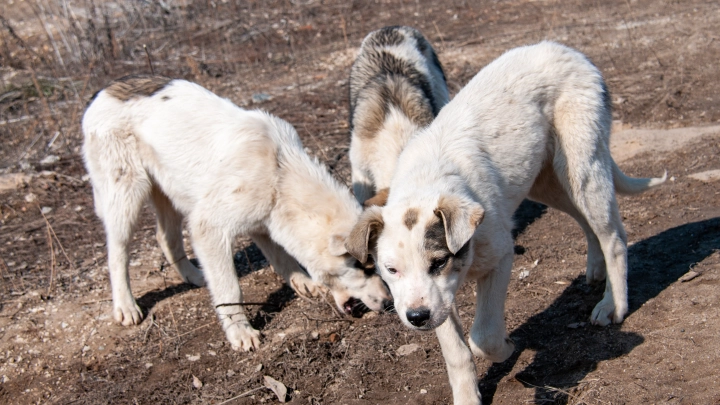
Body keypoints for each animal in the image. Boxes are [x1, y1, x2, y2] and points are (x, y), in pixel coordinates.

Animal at [81, 76, 390, 350]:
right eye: (364, 268)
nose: (388, 303)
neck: (280, 173)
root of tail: (101, 92)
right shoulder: (209, 228)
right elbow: (231, 289)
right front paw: (240, 331)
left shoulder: (262, 221)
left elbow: (281, 257)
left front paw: (302, 282)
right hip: (126, 198)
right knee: (117, 253)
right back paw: (126, 306)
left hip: (168, 194)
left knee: (165, 238)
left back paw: (195, 276)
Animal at [346, 41, 668, 404]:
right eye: (391, 270)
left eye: (439, 262)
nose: (416, 319)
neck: (428, 181)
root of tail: (565, 49)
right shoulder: (437, 302)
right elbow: (457, 352)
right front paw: (468, 397)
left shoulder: (499, 258)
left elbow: (483, 337)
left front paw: (505, 348)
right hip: (547, 182)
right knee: (587, 225)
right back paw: (596, 271)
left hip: (583, 171)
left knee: (613, 237)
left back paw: (613, 305)